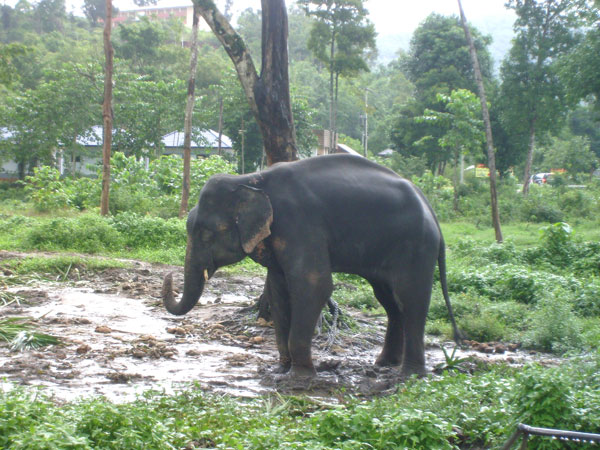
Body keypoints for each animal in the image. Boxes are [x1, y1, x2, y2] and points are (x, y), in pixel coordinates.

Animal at [162, 154, 462, 380]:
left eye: (206, 233)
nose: (169, 276)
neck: (250, 180)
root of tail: (431, 209)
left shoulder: (298, 224)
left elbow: (314, 285)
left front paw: (300, 377)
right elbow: (279, 291)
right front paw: (280, 370)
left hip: (417, 246)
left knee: (411, 299)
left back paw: (409, 375)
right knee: (389, 301)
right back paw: (383, 364)